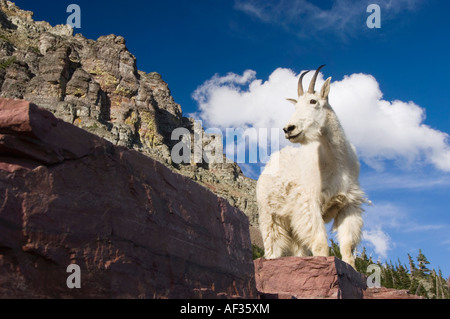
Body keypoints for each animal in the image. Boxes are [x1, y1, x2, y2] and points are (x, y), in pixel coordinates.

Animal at [256, 65, 366, 270]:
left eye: (313, 101)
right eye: (295, 106)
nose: (289, 129)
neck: (335, 161)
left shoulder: (348, 204)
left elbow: (347, 246)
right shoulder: (309, 202)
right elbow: (320, 242)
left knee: (299, 247)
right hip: (269, 216)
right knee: (272, 245)